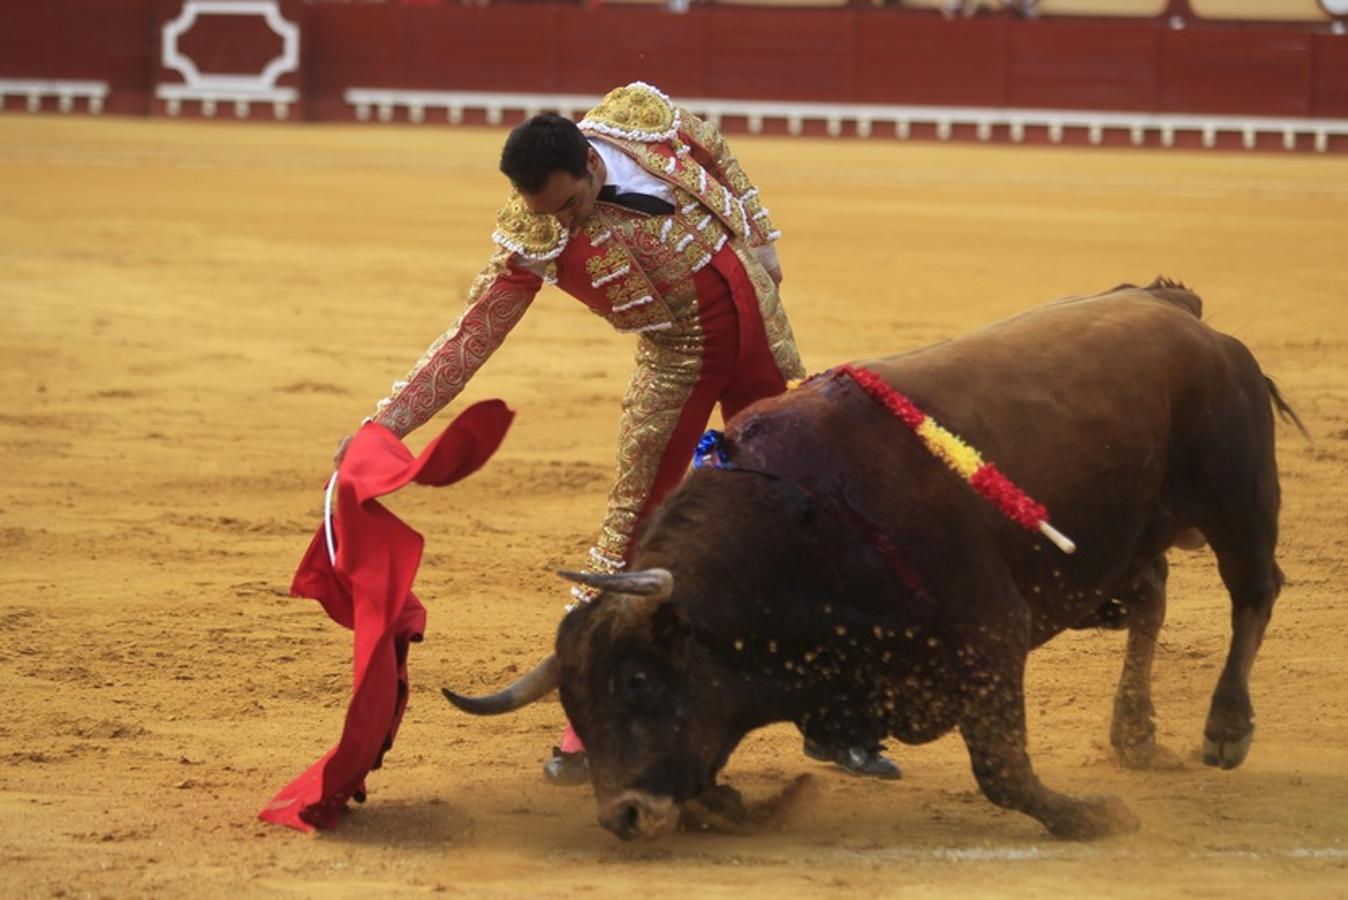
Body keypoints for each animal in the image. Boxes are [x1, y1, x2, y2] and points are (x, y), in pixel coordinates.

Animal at [447, 281, 1299, 846]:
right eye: (574, 702)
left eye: (637, 680)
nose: (622, 816)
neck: (800, 527)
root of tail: (1176, 310)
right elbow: (718, 775)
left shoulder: (990, 633)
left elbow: (1001, 769)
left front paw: (1091, 816)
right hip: (1110, 556)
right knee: (1152, 600)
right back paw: (1135, 733)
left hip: (1239, 499)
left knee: (1255, 593)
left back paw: (1225, 730)